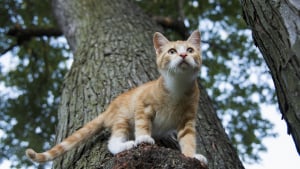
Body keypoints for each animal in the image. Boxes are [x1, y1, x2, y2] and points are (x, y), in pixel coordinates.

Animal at [25, 30, 207, 164]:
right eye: (172, 51)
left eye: (190, 50)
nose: (183, 55)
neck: (177, 86)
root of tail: (108, 109)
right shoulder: (142, 104)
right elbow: (142, 123)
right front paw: (143, 137)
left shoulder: (187, 119)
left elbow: (188, 139)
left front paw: (191, 156)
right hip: (122, 118)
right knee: (112, 142)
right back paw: (124, 145)